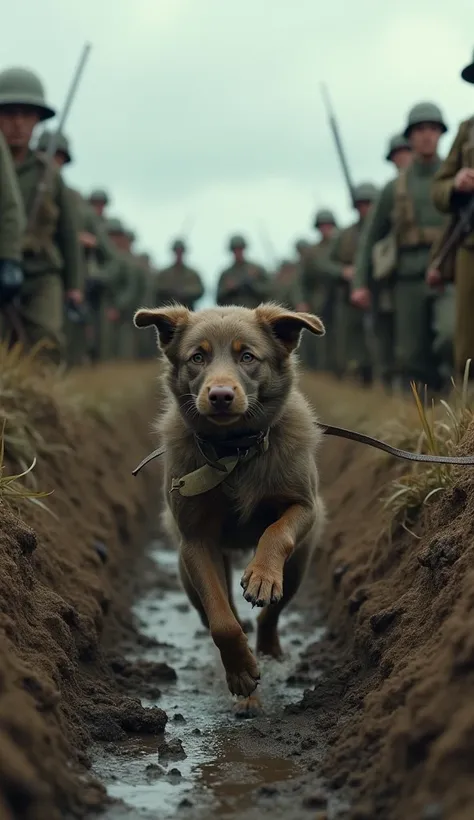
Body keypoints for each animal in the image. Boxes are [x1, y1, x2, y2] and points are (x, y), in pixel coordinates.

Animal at [133, 302, 326, 716]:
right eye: (198, 357)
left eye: (247, 356)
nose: (220, 394)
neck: (234, 451)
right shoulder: (196, 541)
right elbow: (222, 622)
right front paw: (240, 674)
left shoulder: (304, 506)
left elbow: (277, 531)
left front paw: (262, 575)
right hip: (186, 574)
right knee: (224, 616)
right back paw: (248, 684)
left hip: (299, 566)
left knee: (272, 616)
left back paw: (269, 650)